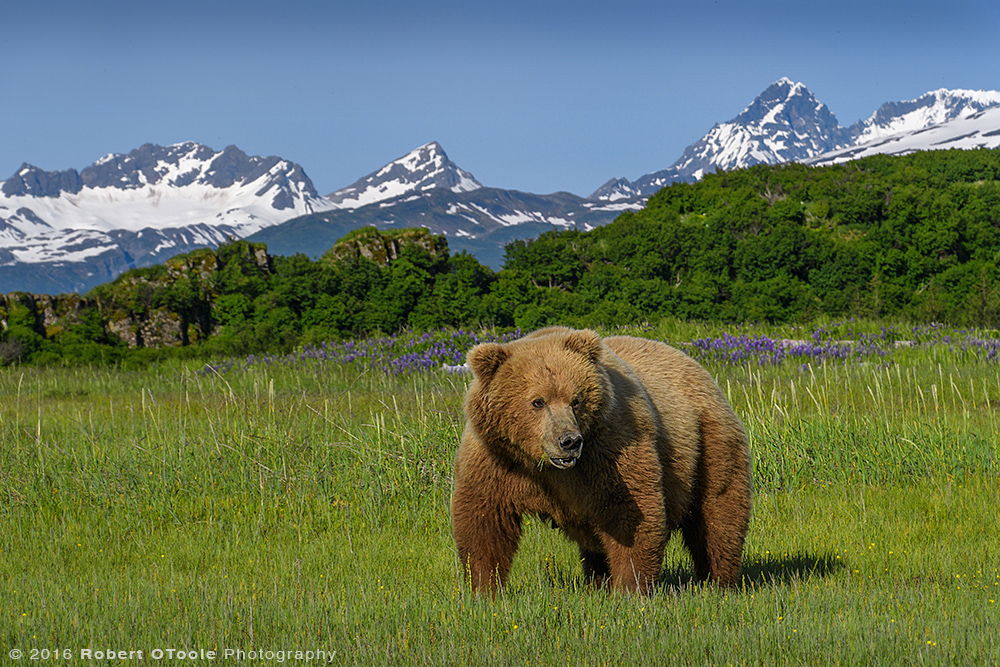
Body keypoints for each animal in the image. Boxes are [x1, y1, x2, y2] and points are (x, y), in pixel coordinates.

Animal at [454, 326, 752, 592]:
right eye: (538, 401)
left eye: (576, 400)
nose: (569, 441)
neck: (544, 466)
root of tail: (697, 367)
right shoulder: (497, 460)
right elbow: (484, 520)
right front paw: (484, 589)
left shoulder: (610, 450)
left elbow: (630, 514)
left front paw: (630, 587)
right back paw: (597, 582)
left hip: (708, 442)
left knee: (717, 515)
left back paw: (718, 581)